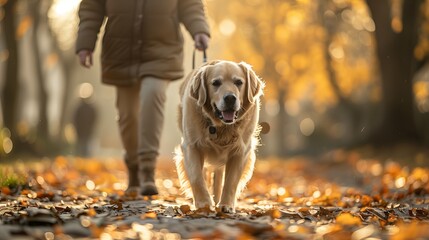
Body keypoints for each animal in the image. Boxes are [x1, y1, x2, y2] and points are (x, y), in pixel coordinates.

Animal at [174, 59, 264, 212]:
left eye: (238, 82)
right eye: (216, 83)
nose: (230, 98)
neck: (220, 126)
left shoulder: (241, 151)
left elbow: (231, 181)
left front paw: (226, 205)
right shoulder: (191, 146)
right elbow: (196, 177)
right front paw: (203, 203)